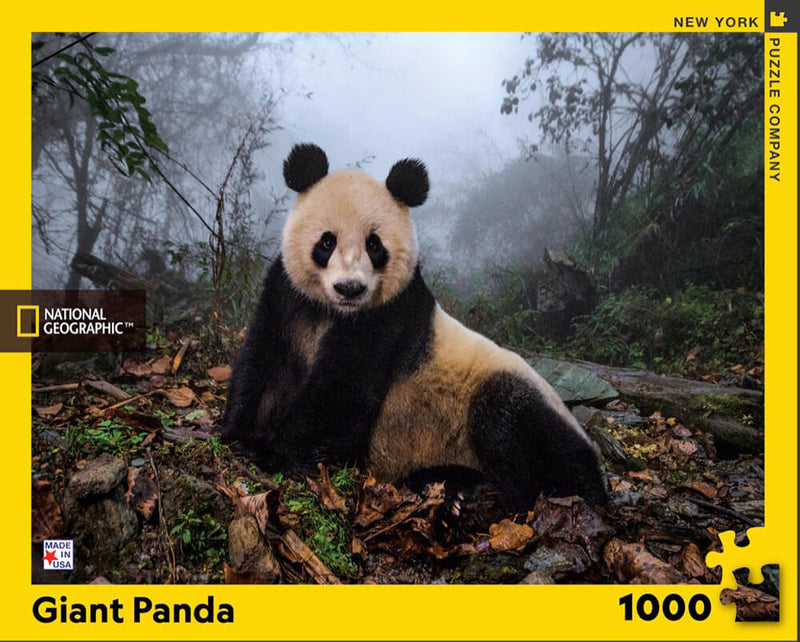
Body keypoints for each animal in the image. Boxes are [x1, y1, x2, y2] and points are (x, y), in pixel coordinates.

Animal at [220, 143, 608, 510]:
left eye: (374, 244)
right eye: (326, 241)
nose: (350, 288)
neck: (335, 312)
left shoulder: (389, 316)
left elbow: (341, 394)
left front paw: (272, 452)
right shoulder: (287, 296)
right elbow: (264, 362)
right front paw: (239, 433)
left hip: (515, 399)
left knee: (516, 428)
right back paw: (450, 484)